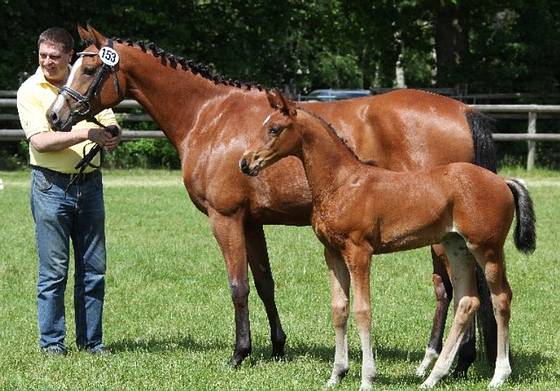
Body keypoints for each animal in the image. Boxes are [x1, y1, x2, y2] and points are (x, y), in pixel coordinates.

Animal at [238, 90, 536, 390]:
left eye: (274, 129)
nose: (245, 162)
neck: (343, 183)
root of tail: (503, 181)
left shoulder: (359, 252)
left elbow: (363, 310)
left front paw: (367, 377)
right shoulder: (332, 253)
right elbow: (339, 309)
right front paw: (336, 375)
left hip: (487, 248)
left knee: (501, 298)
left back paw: (499, 375)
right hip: (456, 246)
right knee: (467, 301)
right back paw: (433, 377)